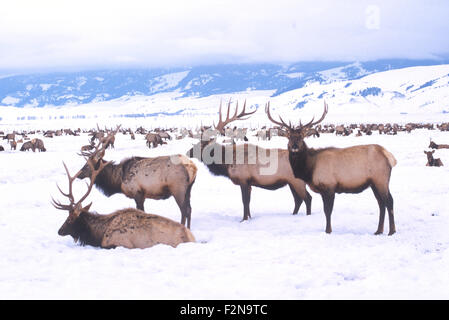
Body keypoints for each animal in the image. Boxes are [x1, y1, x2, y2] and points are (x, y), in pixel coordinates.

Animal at [52, 151, 194, 250]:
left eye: (69, 219)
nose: (59, 231)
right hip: (188, 191)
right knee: (189, 209)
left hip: (178, 190)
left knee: (184, 210)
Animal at [266, 100, 396, 235]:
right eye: (289, 137)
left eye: (301, 136)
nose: (295, 146)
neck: (309, 169)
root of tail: (388, 155)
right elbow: (326, 211)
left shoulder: (329, 186)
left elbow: (327, 211)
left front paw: (328, 230)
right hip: (373, 183)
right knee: (381, 203)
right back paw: (378, 230)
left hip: (380, 179)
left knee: (389, 201)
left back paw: (391, 231)